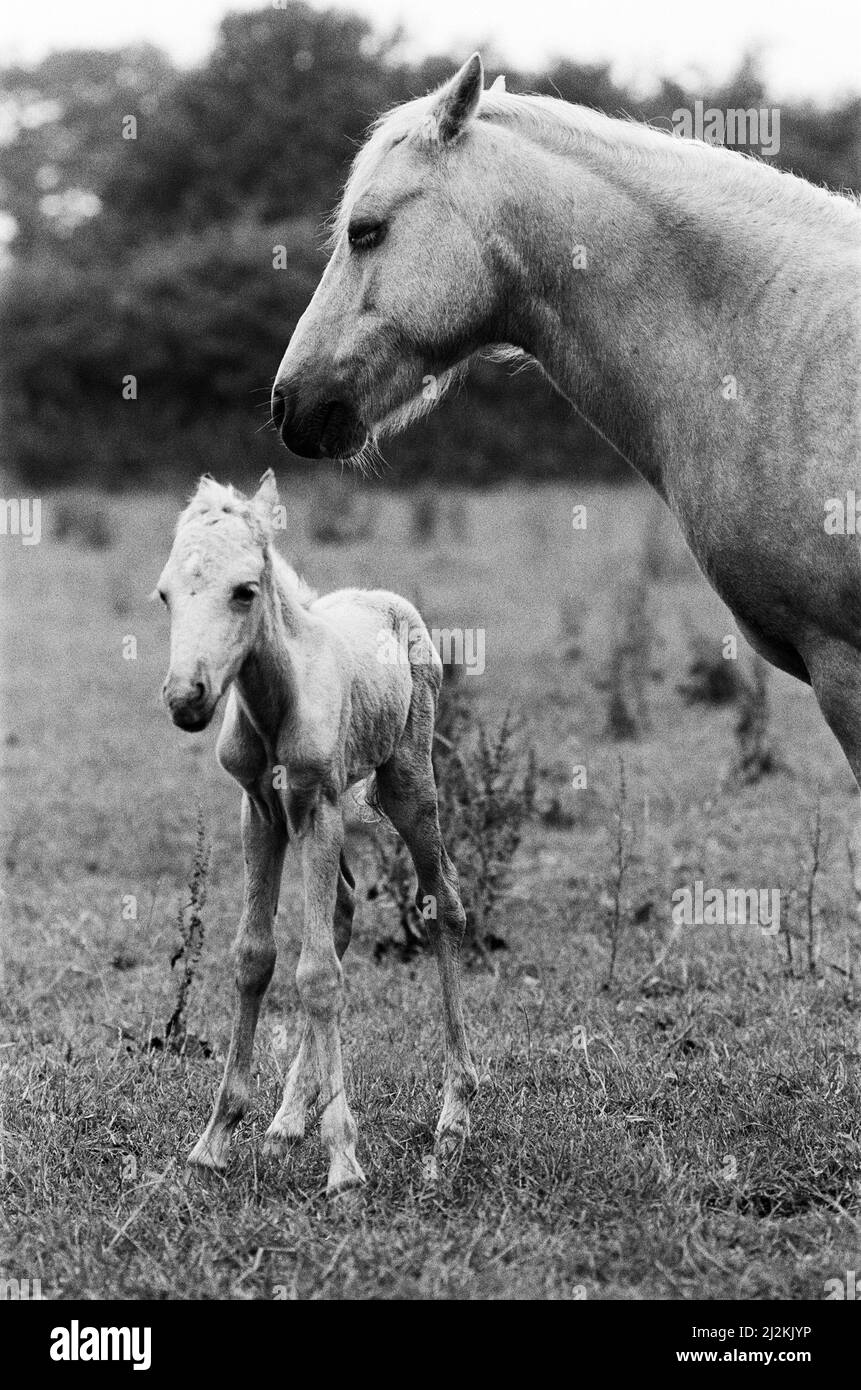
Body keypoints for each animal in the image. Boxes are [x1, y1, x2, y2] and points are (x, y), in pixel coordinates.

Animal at [156, 471, 477, 1195]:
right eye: (165, 593)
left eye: (245, 590)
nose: (186, 697)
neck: (278, 701)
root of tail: (388, 601)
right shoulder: (259, 812)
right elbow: (257, 957)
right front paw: (216, 1141)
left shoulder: (320, 806)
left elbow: (319, 975)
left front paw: (345, 1166)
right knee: (342, 913)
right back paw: (286, 1121)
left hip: (408, 782)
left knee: (442, 901)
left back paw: (454, 1110)